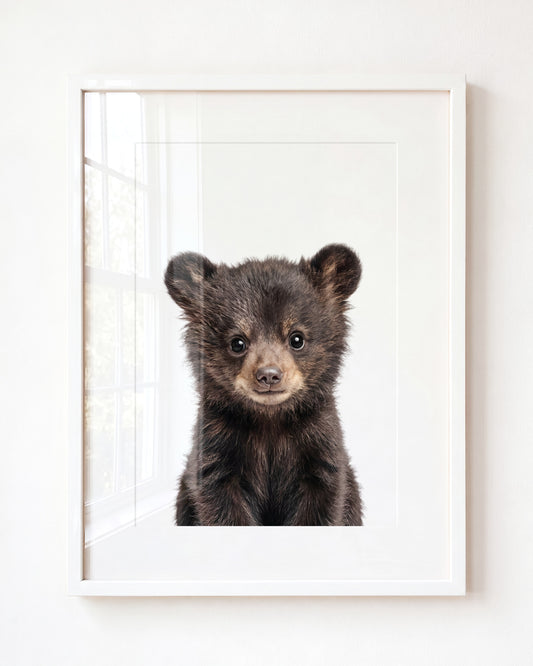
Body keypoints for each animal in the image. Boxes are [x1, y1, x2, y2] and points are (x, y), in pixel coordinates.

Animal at [164, 244, 364, 526]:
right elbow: (222, 507)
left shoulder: (319, 446)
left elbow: (321, 505)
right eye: (237, 342)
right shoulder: (217, 448)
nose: (269, 375)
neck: (269, 420)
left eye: (297, 338)